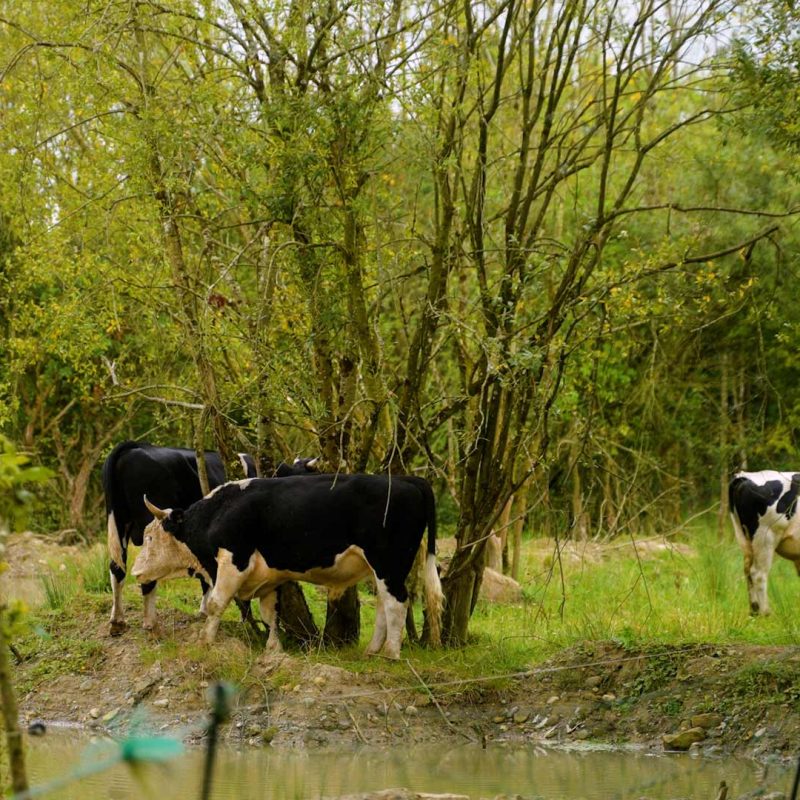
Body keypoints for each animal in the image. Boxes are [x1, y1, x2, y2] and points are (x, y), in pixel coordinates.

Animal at [102, 440, 257, 634]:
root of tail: (133, 447)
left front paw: (204, 612)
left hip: (119, 521)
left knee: (117, 567)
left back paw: (118, 621)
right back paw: (151, 623)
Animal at [131, 474, 444, 658]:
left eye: (149, 537)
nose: (136, 572)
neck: (218, 512)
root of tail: (406, 479)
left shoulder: (233, 562)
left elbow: (216, 604)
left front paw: (205, 641)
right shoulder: (267, 579)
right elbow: (270, 614)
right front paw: (273, 649)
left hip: (388, 562)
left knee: (397, 603)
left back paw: (391, 653)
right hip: (382, 569)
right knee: (384, 604)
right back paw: (372, 650)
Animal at [729, 470, 800, 615]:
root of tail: (743, 477)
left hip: (744, 538)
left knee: (747, 571)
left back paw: (754, 611)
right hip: (766, 537)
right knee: (758, 573)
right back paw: (766, 613)